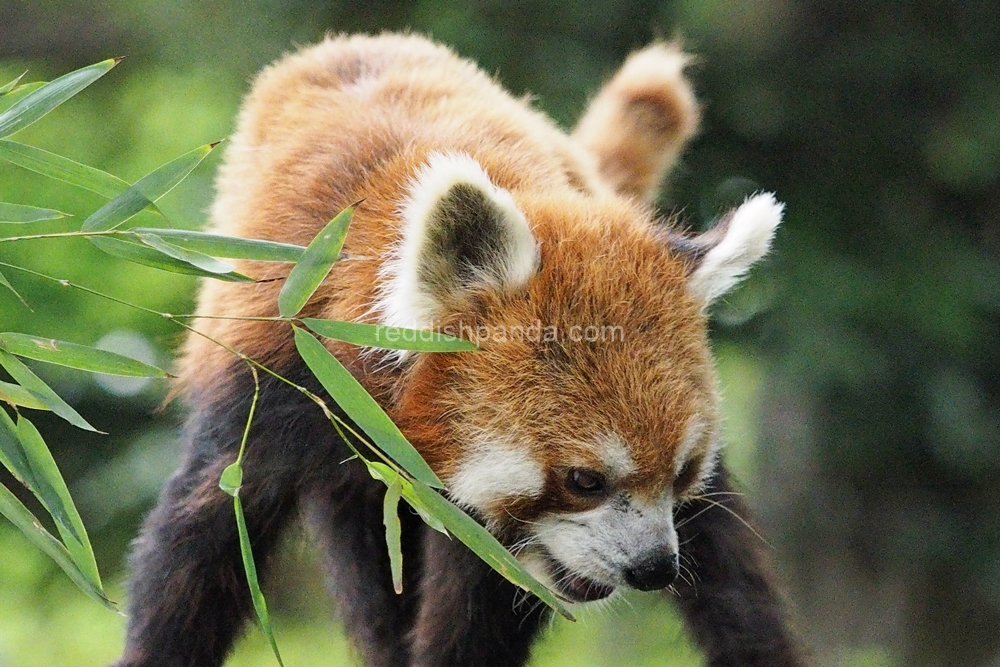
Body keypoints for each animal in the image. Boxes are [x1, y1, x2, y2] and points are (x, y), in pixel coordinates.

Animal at [115, 34, 804, 667]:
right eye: (584, 480)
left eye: (682, 472)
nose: (654, 567)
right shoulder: (272, 375)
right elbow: (198, 547)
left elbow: (482, 598)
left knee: (732, 580)